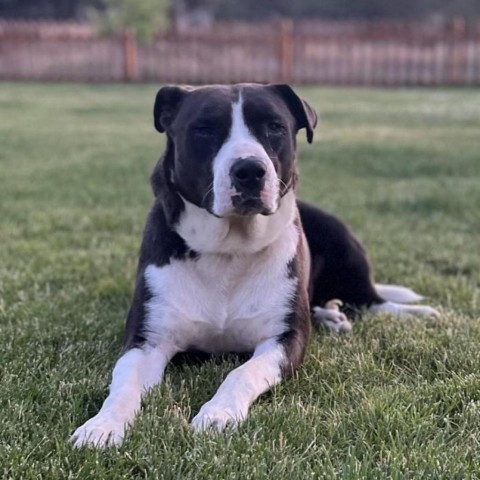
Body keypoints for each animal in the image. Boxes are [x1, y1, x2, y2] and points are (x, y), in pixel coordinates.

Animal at [70, 82, 438, 446]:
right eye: (204, 129)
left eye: (274, 127)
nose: (249, 170)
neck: (229, 249)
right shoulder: (147, 340)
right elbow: (123, 384)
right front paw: (103, 425)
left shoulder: (284, 339)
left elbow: (242, 372)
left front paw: (218, 413)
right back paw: (331, 315)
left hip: (340, 236)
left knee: (371, 300)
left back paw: (411, 313)